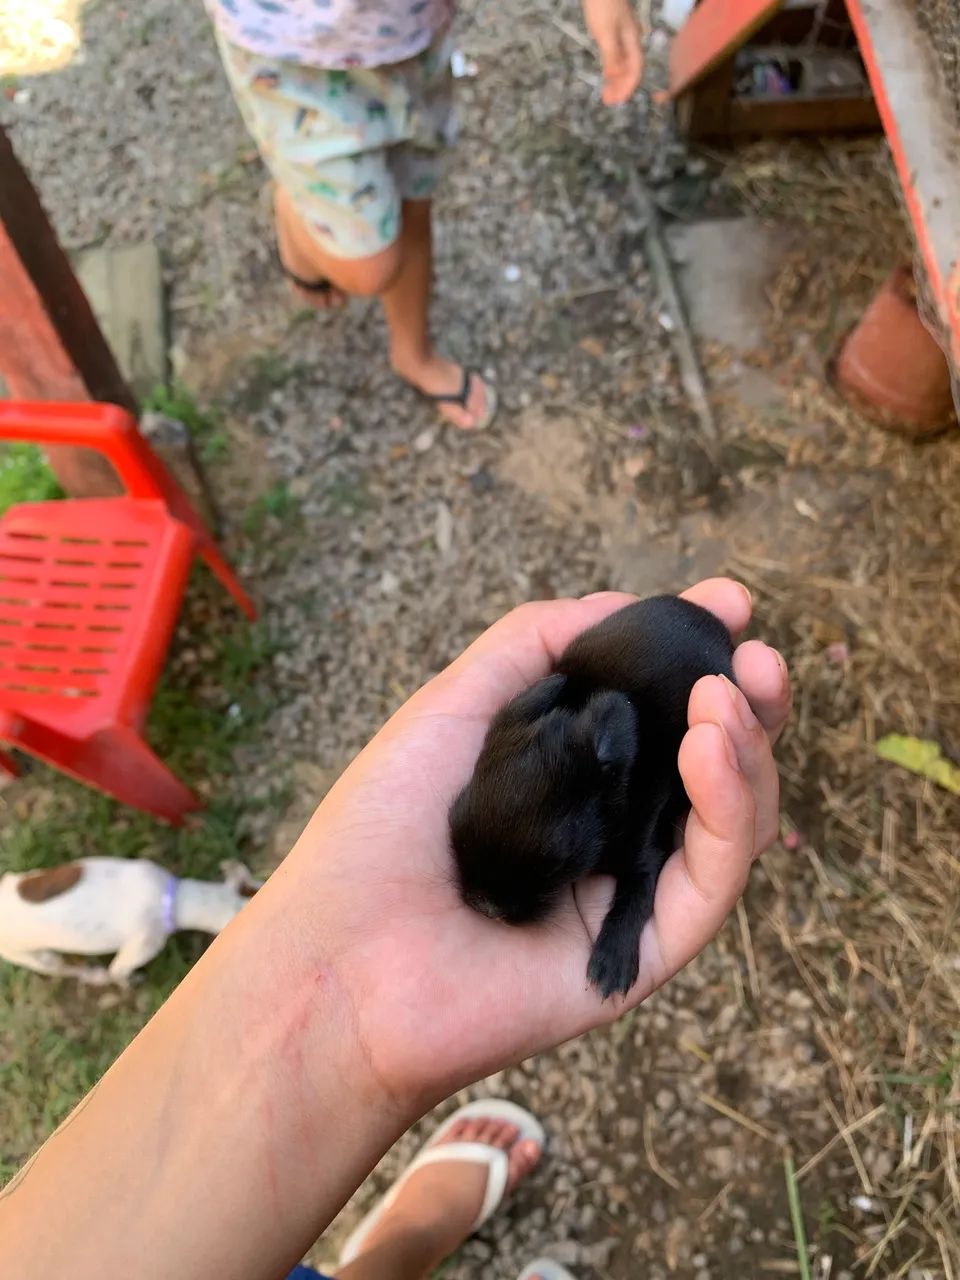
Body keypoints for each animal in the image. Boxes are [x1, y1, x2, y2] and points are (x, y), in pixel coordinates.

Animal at [450, 595, 735, 999]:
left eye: (557, 863)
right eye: (454, 820)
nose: (486, 907)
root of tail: (709, 618)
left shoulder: (646, 847)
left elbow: (635, 894)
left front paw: (610, 966)